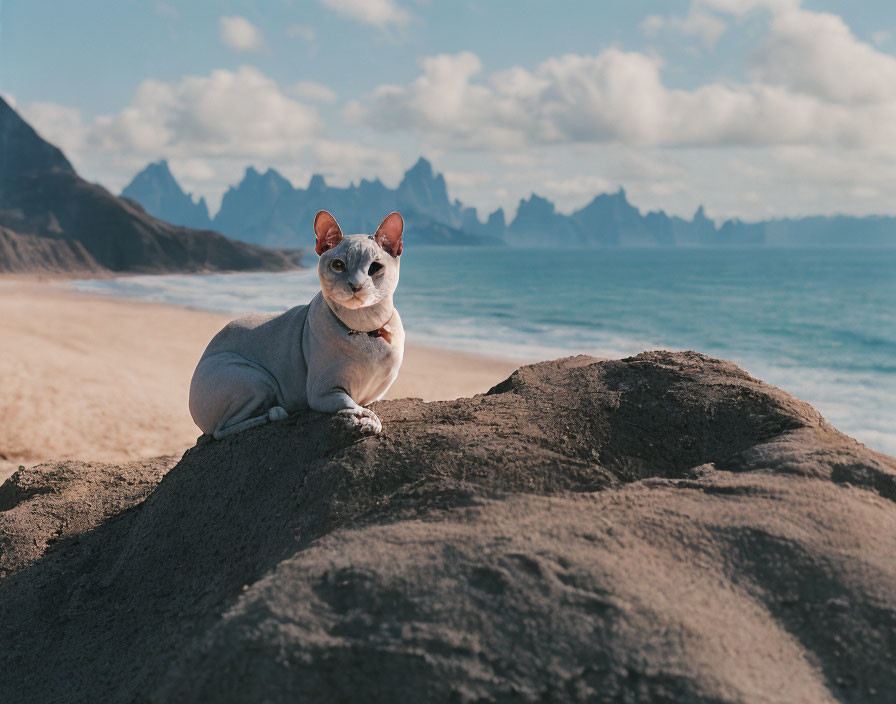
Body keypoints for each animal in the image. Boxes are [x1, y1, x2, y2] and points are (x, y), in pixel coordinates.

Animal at [189, 212, 406, 438]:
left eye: (375, 267)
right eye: (338, 265)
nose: (356, 285)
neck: (366, 328)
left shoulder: (373, 394)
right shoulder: (322, 393)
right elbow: (354, 405)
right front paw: (366, 421)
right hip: (254, 377)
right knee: (221, 430)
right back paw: (274, 413)